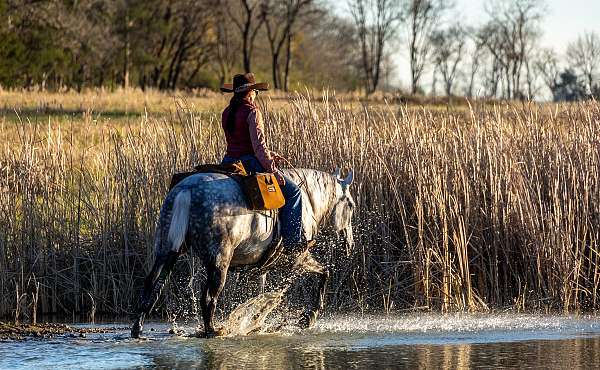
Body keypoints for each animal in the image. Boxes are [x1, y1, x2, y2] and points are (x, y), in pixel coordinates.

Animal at [130, 168, 356, 338]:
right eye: (351, 205)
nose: (350, 244)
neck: (308, 201)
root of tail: (187, 189)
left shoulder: (261, 268)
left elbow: (259, 293)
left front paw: (256, 322)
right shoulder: (298, 259)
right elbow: (323, 273)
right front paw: (308, 317)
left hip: (166, 250)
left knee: (151, 284)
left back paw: (137, 329)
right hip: (218, 262)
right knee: (208, 298)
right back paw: (213, 331)